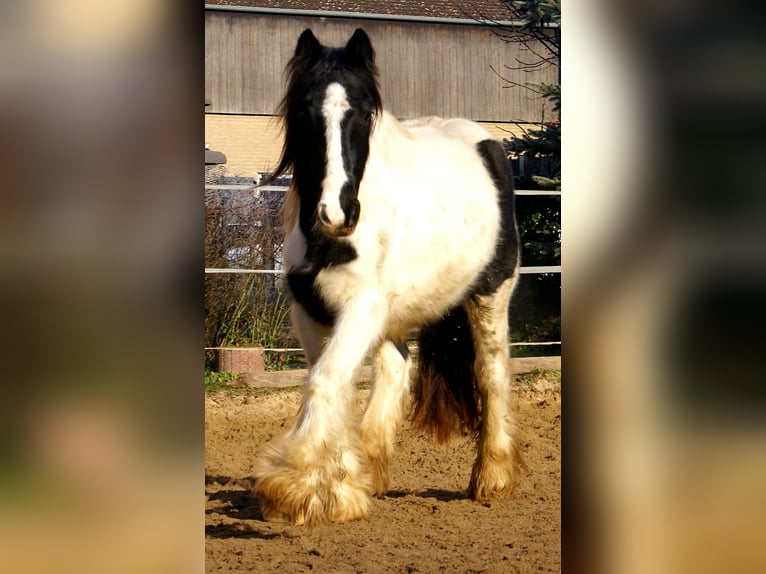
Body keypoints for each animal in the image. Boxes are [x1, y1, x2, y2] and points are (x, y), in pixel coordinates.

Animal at [255, 30, 524, 528]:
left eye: (364, 114)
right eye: (304, 112)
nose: (338, 213)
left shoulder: (361, 307)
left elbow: (325, 381)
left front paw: (294, 490)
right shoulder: (310, 312)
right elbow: (332, 381)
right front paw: (340, 487)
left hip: (490, 294)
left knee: (491, 373)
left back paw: (492, 479)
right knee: (397, 367)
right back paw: (372, 468)